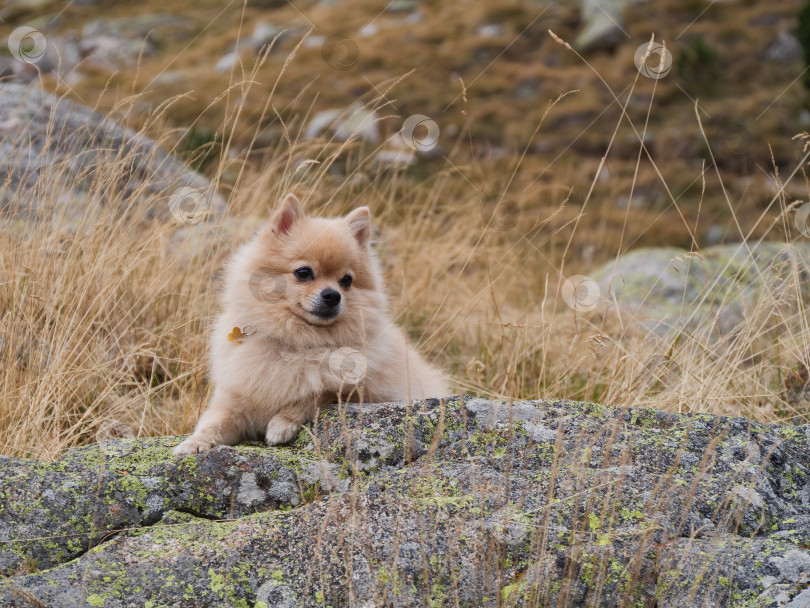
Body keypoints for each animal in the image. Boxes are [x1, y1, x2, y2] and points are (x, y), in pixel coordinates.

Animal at [174, 192, 448, 454]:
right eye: (303, 273)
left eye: (346, 280)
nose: (333, 295)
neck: (298, 342)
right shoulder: (232, 400)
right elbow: (212, 424)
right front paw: (194, 443)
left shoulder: (363, 391)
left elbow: (315, 395)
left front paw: (281, 423)